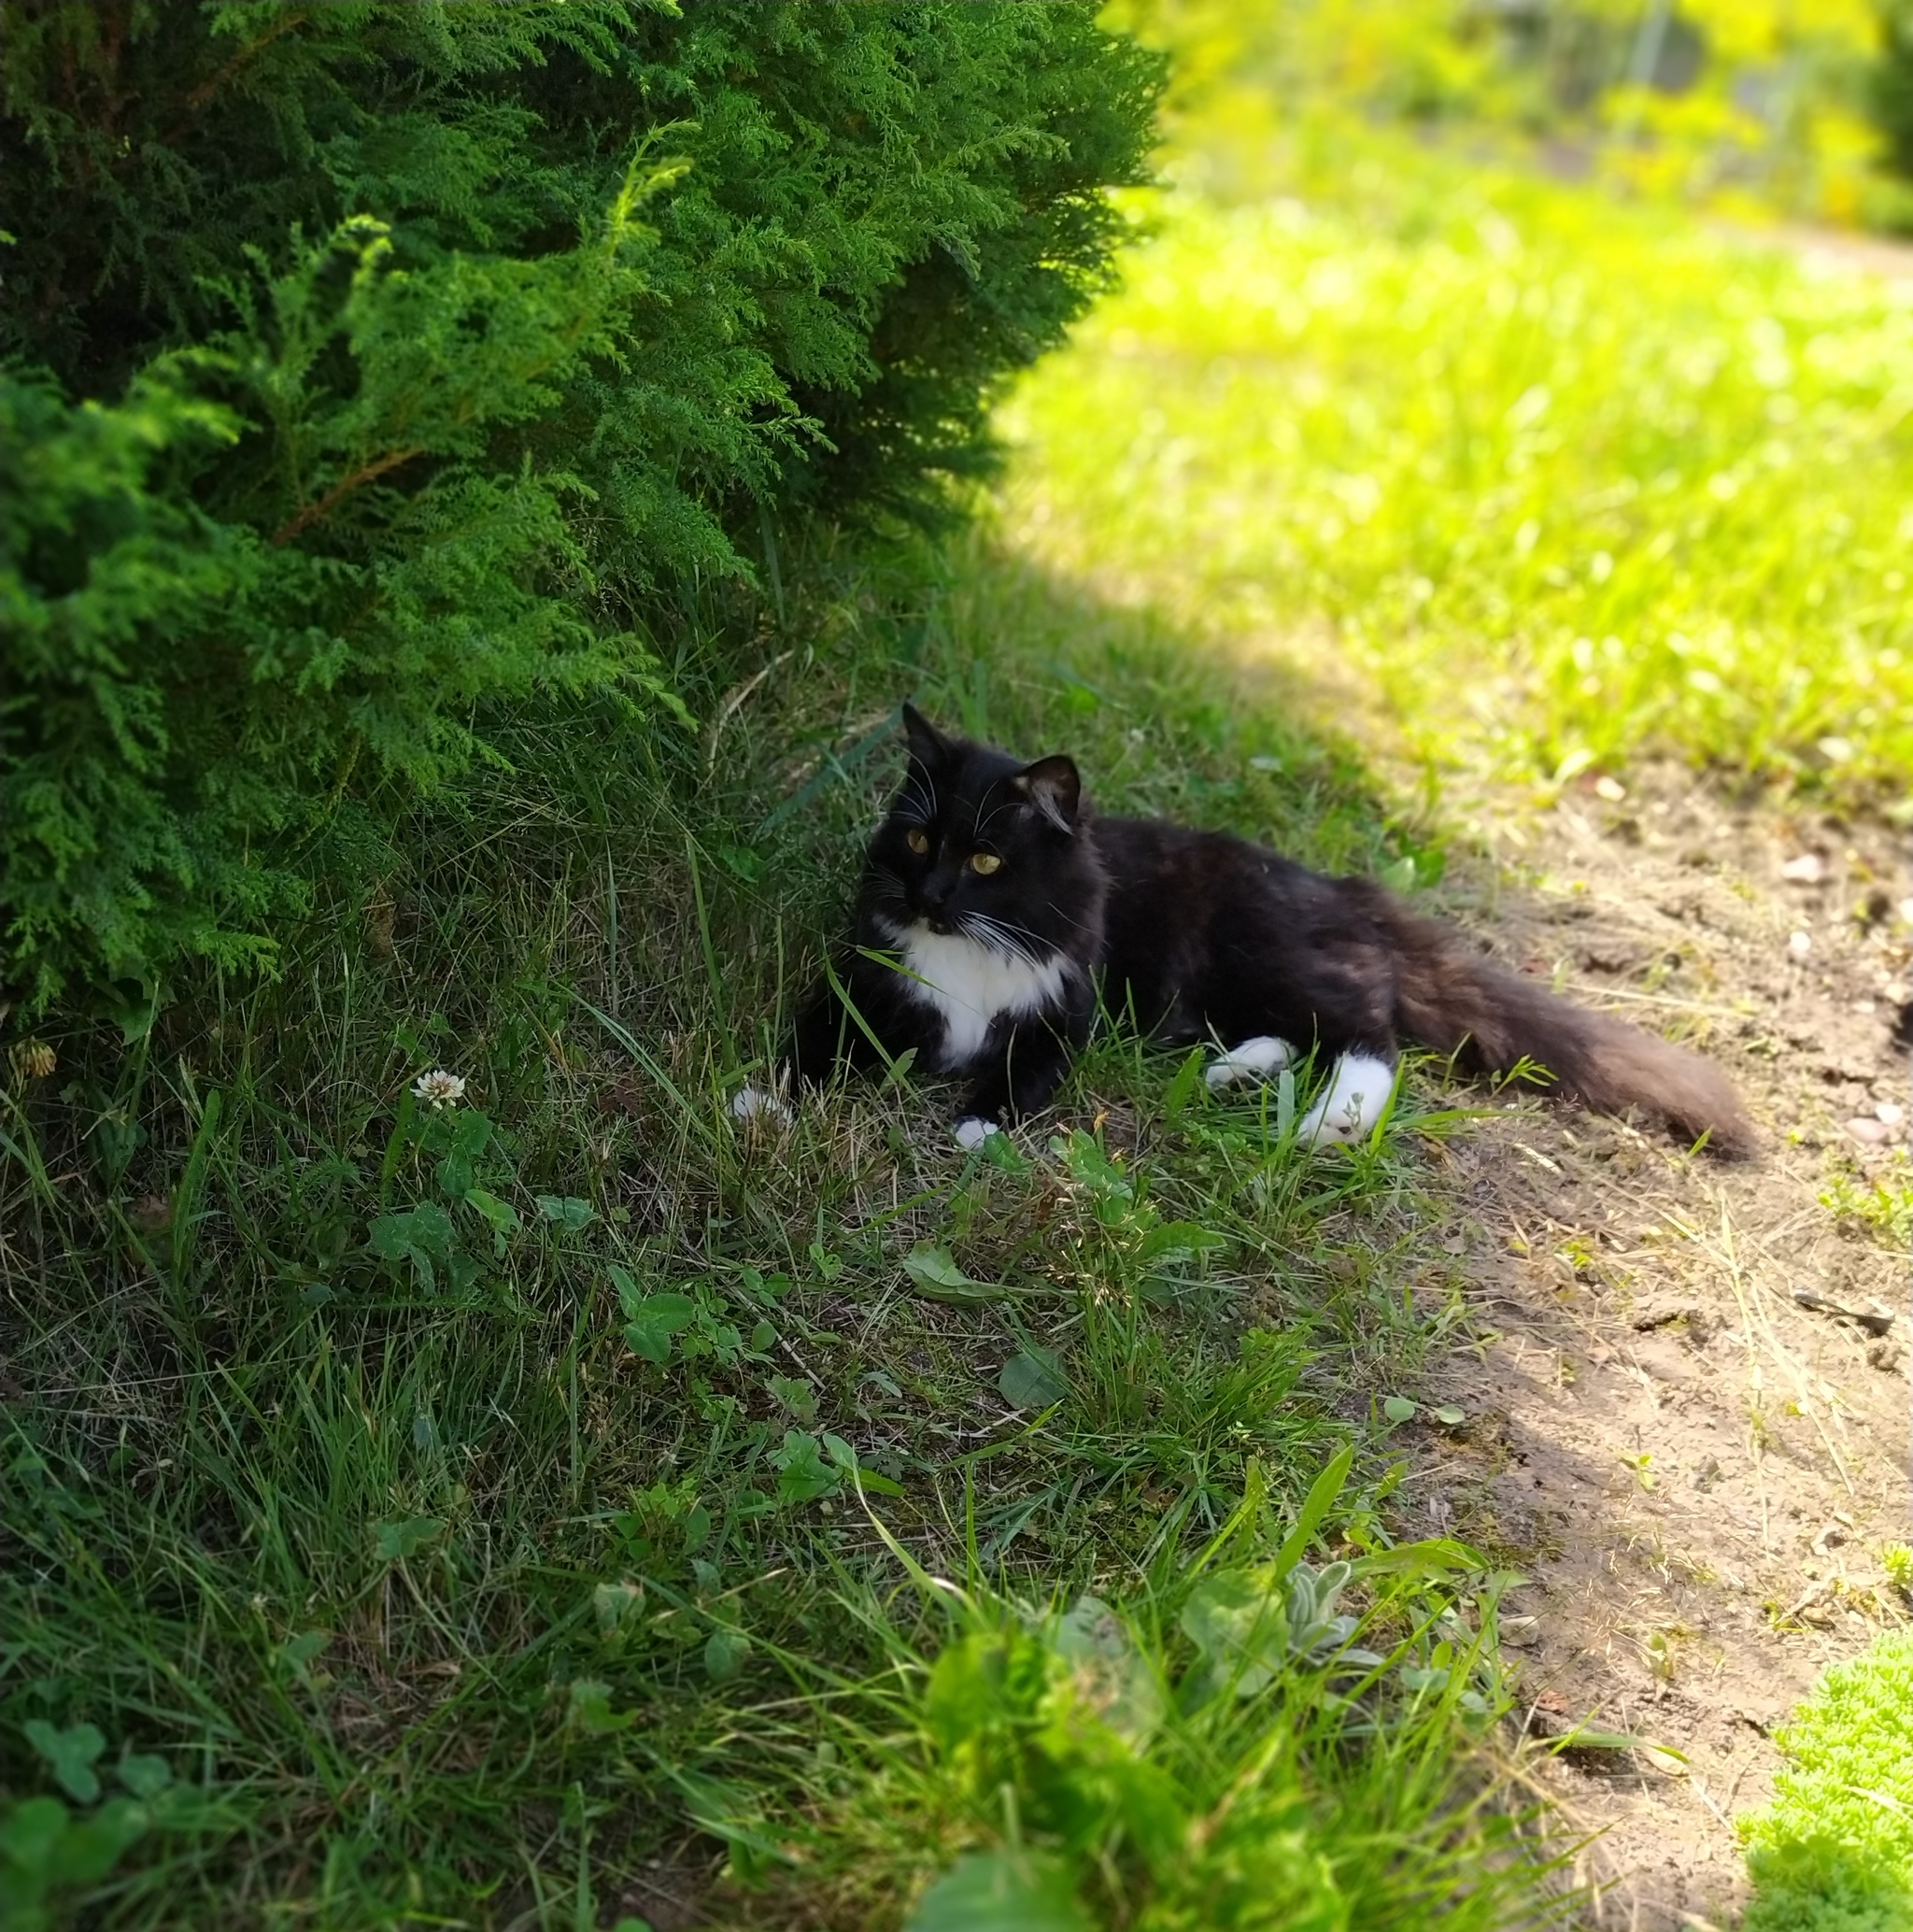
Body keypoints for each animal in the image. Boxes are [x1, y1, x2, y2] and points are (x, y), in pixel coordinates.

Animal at [734, 711, 1754, 1158]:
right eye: (916, 841)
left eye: (986, 860)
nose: (933, 896)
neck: (974, 948)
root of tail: (1338, 886)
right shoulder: (864, 986)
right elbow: (809, 1046)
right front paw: (761, 1106)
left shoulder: (1063, 1015)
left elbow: (1021, 1076)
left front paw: (978, 1125)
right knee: (1302, 1033)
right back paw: (1233, 1074)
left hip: (1264, 955)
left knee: (1370, 1035)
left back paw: (1326, 1122)